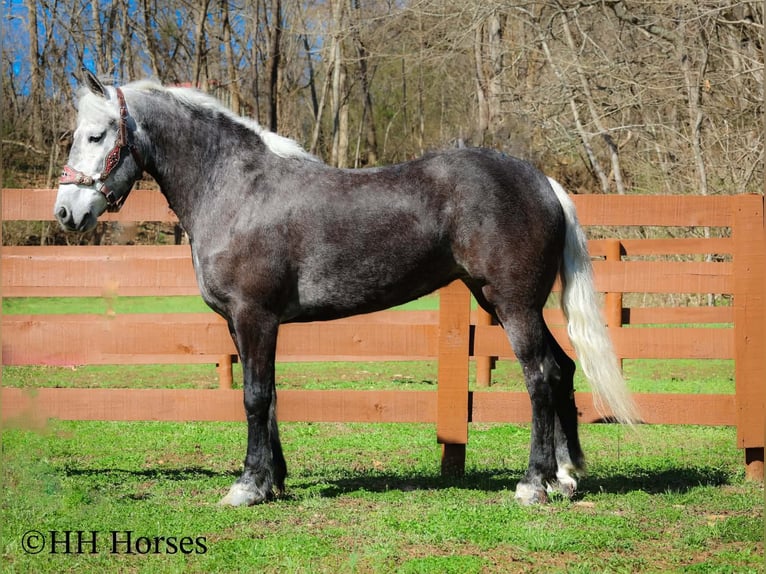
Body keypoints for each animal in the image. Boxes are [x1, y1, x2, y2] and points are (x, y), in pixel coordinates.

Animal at [55, 70, 638, 506]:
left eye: (96, 135)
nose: (65, 212)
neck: (236, 189)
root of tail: (542, 182)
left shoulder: (253, 316)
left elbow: (253, 397)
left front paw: (246, 487)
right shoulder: (248, 325)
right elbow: (269, 397)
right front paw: (274, 481)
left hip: (512, 304)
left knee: (539, 378)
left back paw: (533, 484)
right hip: (508, 302)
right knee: (562, 369)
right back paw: (565, 477)